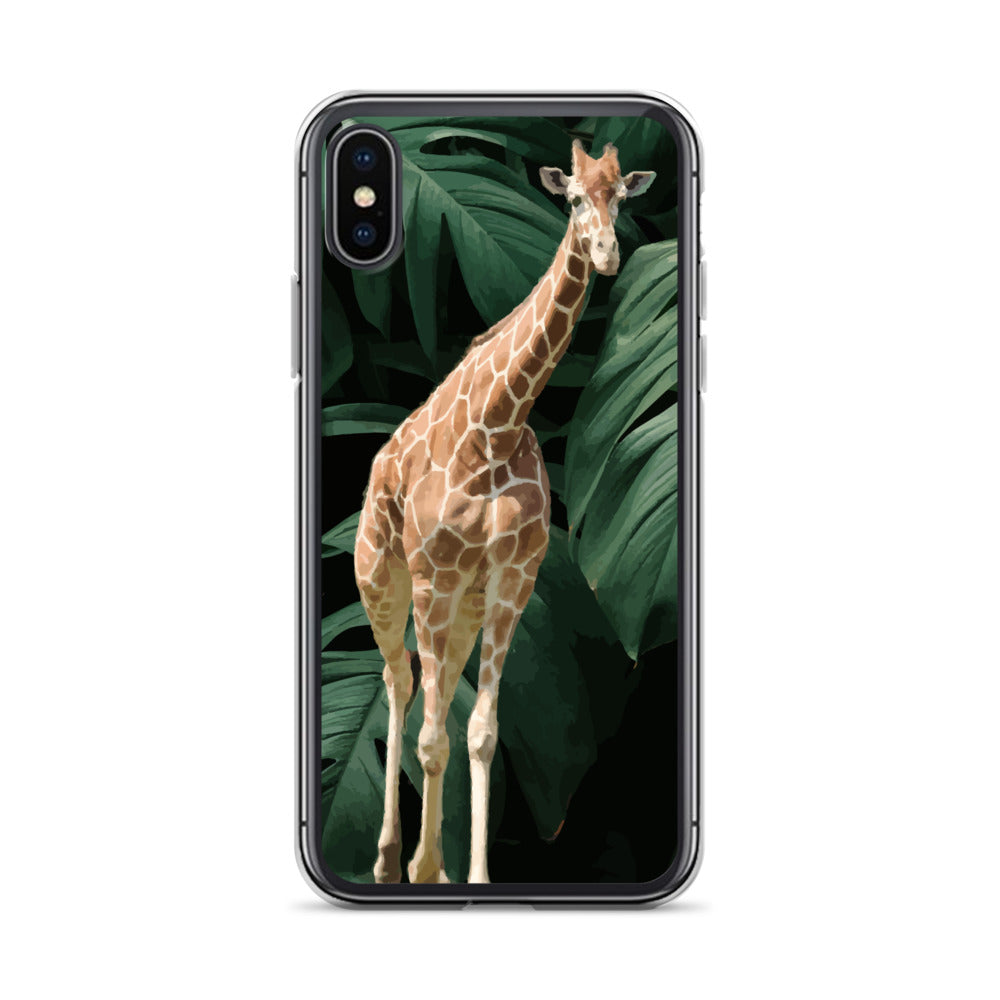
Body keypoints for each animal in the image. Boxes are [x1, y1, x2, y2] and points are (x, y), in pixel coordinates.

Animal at [354, 139, 655, 884]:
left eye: (620, 197)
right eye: (571, 198)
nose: (607, 253)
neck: (496, 424)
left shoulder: (513, 582)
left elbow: (482, 732)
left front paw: (467, 875)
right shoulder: (431, 577)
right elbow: (433, 738)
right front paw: (425, 869)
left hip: (461, 602)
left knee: (426, 690)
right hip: (382, 576)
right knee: (397, 679)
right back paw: (387, 861)